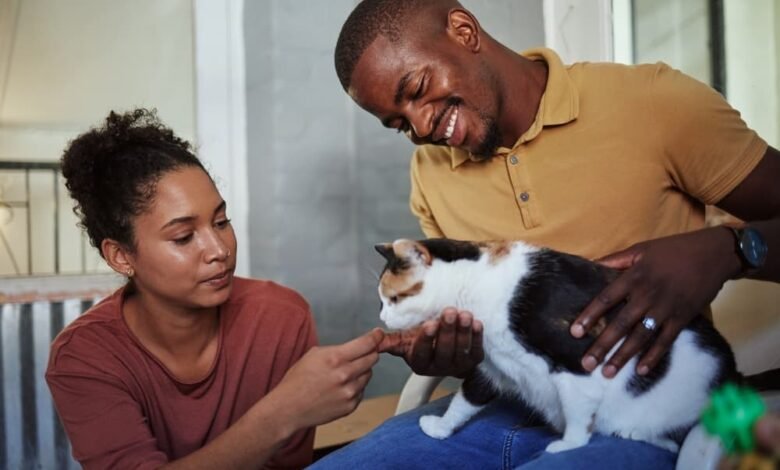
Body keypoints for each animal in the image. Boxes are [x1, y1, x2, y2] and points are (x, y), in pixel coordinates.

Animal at [374, 239, 740, 452]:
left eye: (394, 299)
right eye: (384, 301)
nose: (382, 317)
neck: (478, 283)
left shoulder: (579, 362)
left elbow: (578, 415)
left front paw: (567, 445)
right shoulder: (492, 367)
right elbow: (465, 400)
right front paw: (440, 428)